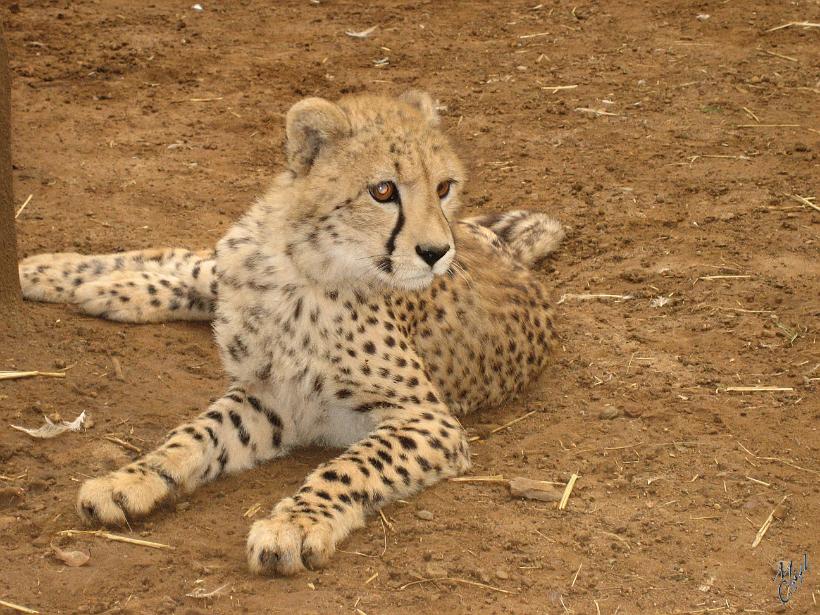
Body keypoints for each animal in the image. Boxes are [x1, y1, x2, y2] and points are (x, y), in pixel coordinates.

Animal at [17, 91, 564, 576]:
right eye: (383, 190)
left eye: (444, 187)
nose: (437, 253)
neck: (306, 269)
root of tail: (503, 249)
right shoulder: (272, 390)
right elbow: (193, 434)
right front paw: (131, 477)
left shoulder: (419, 420)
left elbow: (351, 465)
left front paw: (296, 524)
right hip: (226, 260)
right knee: (186, 258)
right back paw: (50, 272)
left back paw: (98, 289)